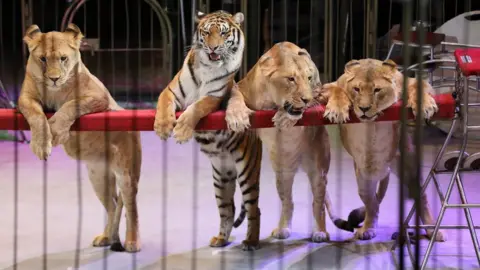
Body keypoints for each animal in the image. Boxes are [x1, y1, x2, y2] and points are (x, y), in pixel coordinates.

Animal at [18, 24, 142, 252]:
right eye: (43, 59)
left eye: (63, 58)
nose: (54, 78)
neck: (55, 91)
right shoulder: (25, 98)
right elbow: (37, 116)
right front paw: (41, 144)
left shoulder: (98, 97)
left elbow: (71, 105)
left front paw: (56, 131)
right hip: (98, 178)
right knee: (113, 206)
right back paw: (107, 237)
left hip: (127, 174)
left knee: (131, 207)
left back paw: (132, 242)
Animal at [154, 10, 262, 251]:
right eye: (206, 33)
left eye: (223, 33)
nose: (213, 48)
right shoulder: (172, 90)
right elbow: (163, 102)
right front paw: (163, 126)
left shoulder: (213, 97)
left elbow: (196, 108)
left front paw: (181, 131)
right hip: (221, 178)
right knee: (228, 209)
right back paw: (220, 239)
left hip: (247, 171)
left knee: (254, 208)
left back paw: (251, 241)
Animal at [320, 58, 448, 242]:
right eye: (357, 89)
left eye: (377, 90)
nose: (364, 108)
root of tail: (383, 170)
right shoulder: (329, 86)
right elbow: (336, 89)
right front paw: (337, 109)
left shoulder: (409, 81)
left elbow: (419, 86)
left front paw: (424, 105)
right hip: (363, 180)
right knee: (372, 205)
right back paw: (367, 229)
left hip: (409, 168)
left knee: (421, 198)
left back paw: (433, 231)